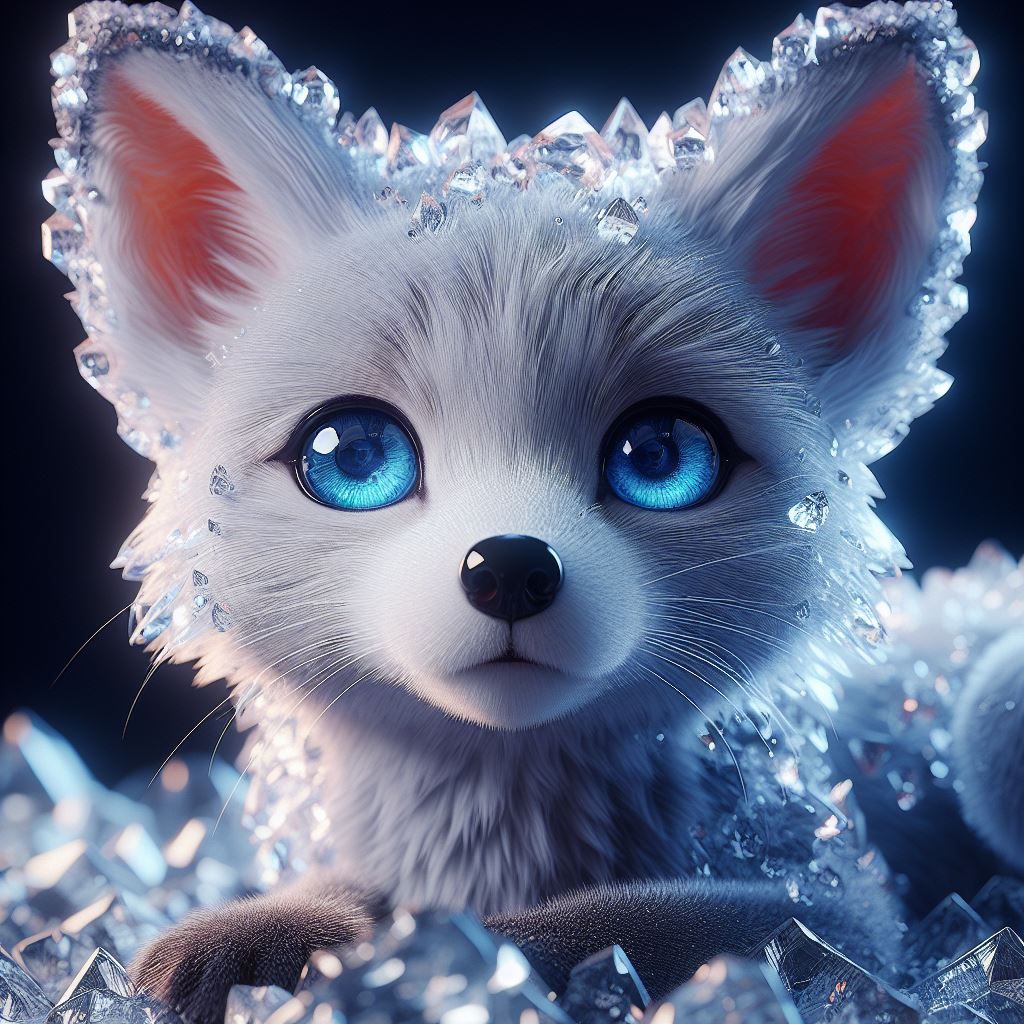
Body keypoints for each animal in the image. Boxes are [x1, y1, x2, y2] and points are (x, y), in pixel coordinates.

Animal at [40, 1, 1007, 1021]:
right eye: (354, 457)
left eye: (660, 458)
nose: (508, 567)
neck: (499, 841)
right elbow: (349, 894)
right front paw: (274, 925)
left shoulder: (849, 920)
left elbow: (607, 926)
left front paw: (374, 951)